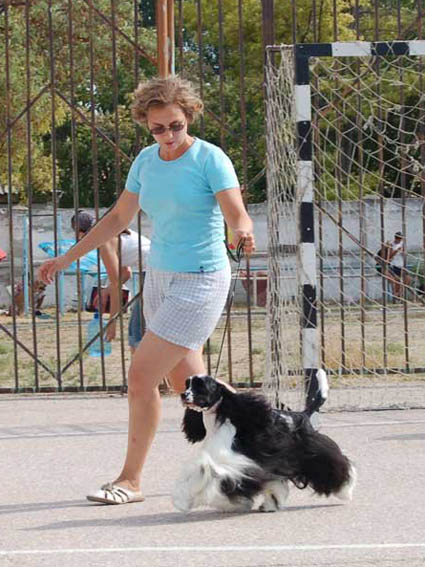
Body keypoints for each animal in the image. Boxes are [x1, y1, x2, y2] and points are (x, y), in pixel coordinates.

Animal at [172, 371, 356, 513]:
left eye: (200, 386)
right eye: (187, 384)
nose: (183, 394)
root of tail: (303, 414)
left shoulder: (233, 463)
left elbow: (207, 477)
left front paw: (183, 501)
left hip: (312, 452)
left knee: (337, 465)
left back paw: (345, 491)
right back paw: (269, 505)